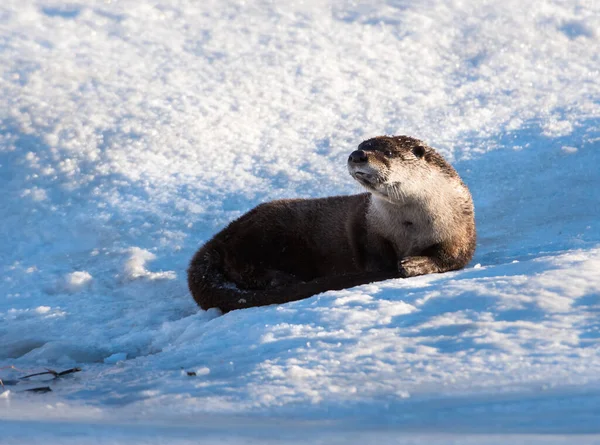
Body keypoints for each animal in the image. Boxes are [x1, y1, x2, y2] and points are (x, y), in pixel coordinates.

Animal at [185, 135, 476, 312]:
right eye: (361, 144)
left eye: (388, 152)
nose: (357, 155)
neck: (410, 224)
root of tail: (219, 238)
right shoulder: (369, 228)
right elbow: (374, 256)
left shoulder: (460, 230)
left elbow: (449, 258)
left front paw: (416, 263)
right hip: (263, 235)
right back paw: (283, 279)